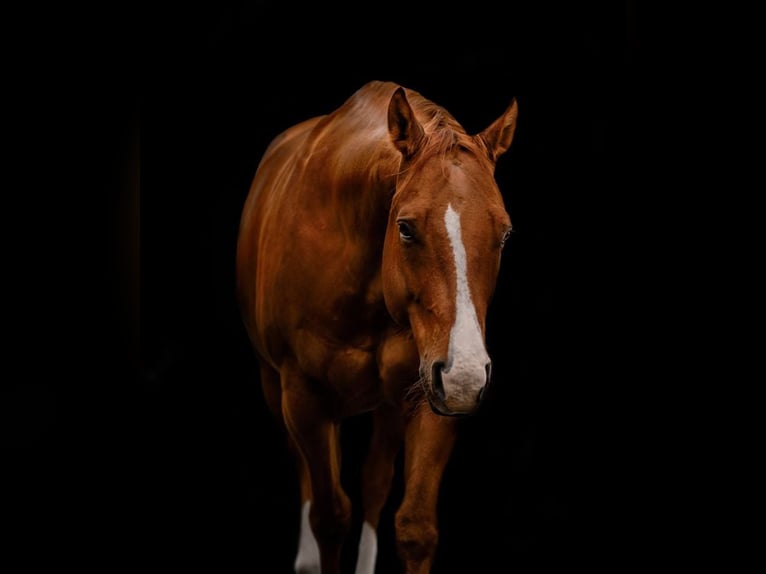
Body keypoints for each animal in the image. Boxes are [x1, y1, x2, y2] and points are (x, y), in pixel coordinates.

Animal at [236, 80, 518, 573]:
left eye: (504, 234)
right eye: (405, 228)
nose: (465, 373)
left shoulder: (432, 397)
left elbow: (415, 527)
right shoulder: (305, 398)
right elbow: (329, 519)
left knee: (375, 482)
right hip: (276, 387)